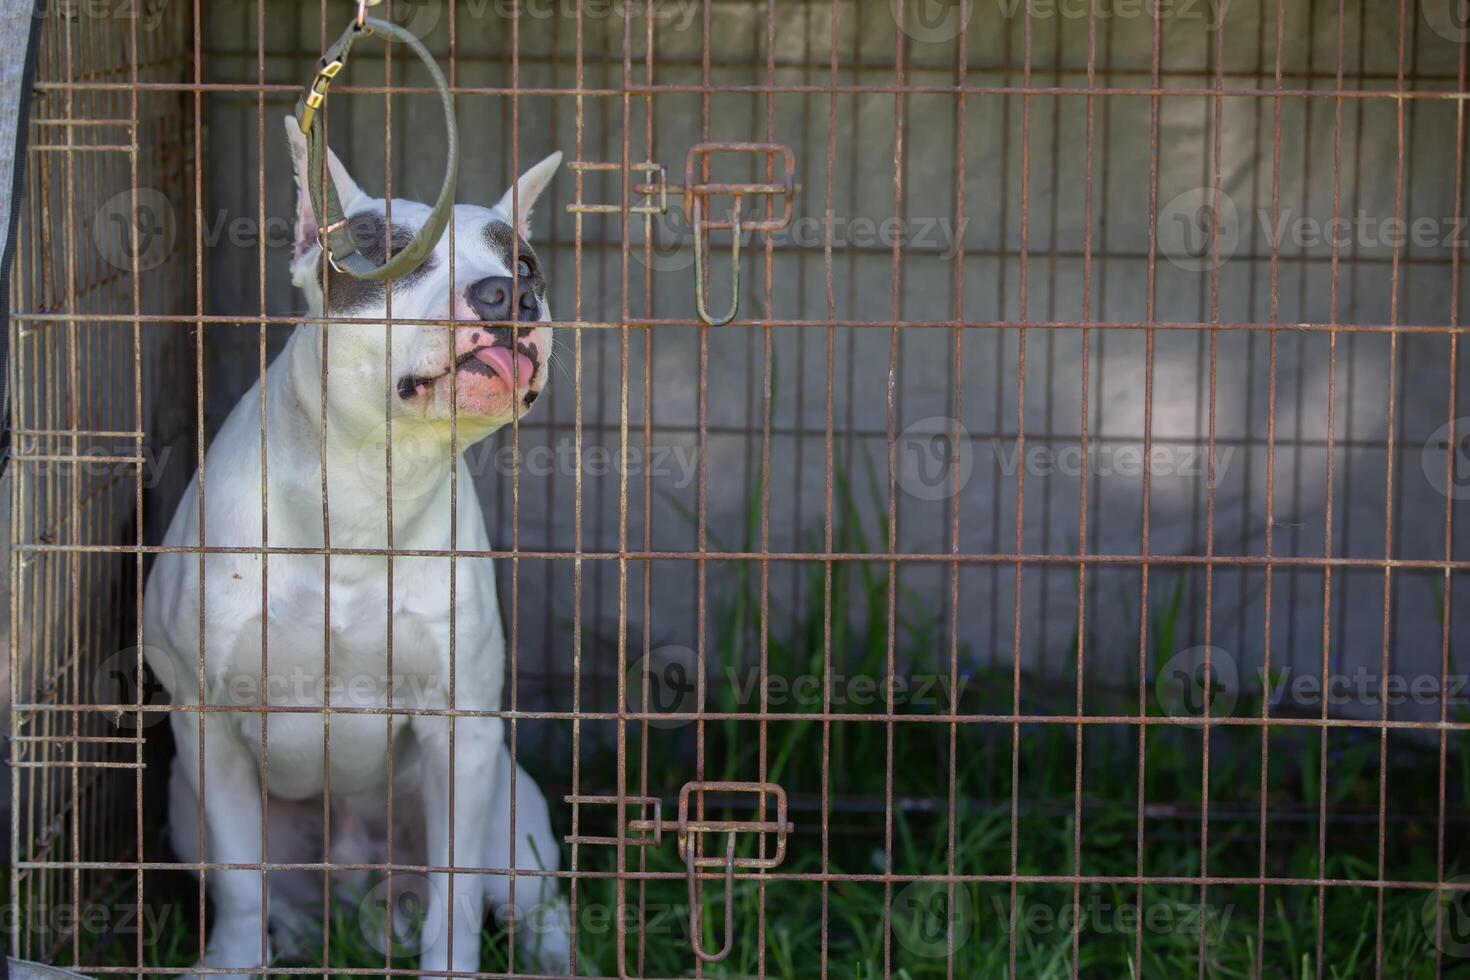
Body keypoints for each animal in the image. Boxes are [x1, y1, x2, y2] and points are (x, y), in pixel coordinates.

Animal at [141, 119, 567, 975]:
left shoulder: (461, 732)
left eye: (525, 265)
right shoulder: (207, 724)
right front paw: (232, 961)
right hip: (185, 807)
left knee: (533, 906)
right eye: (394, 252)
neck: (370, 492)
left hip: (514, 809)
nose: (511, 295)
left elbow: (456, 894)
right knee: (274, 892)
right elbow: (239, 881)